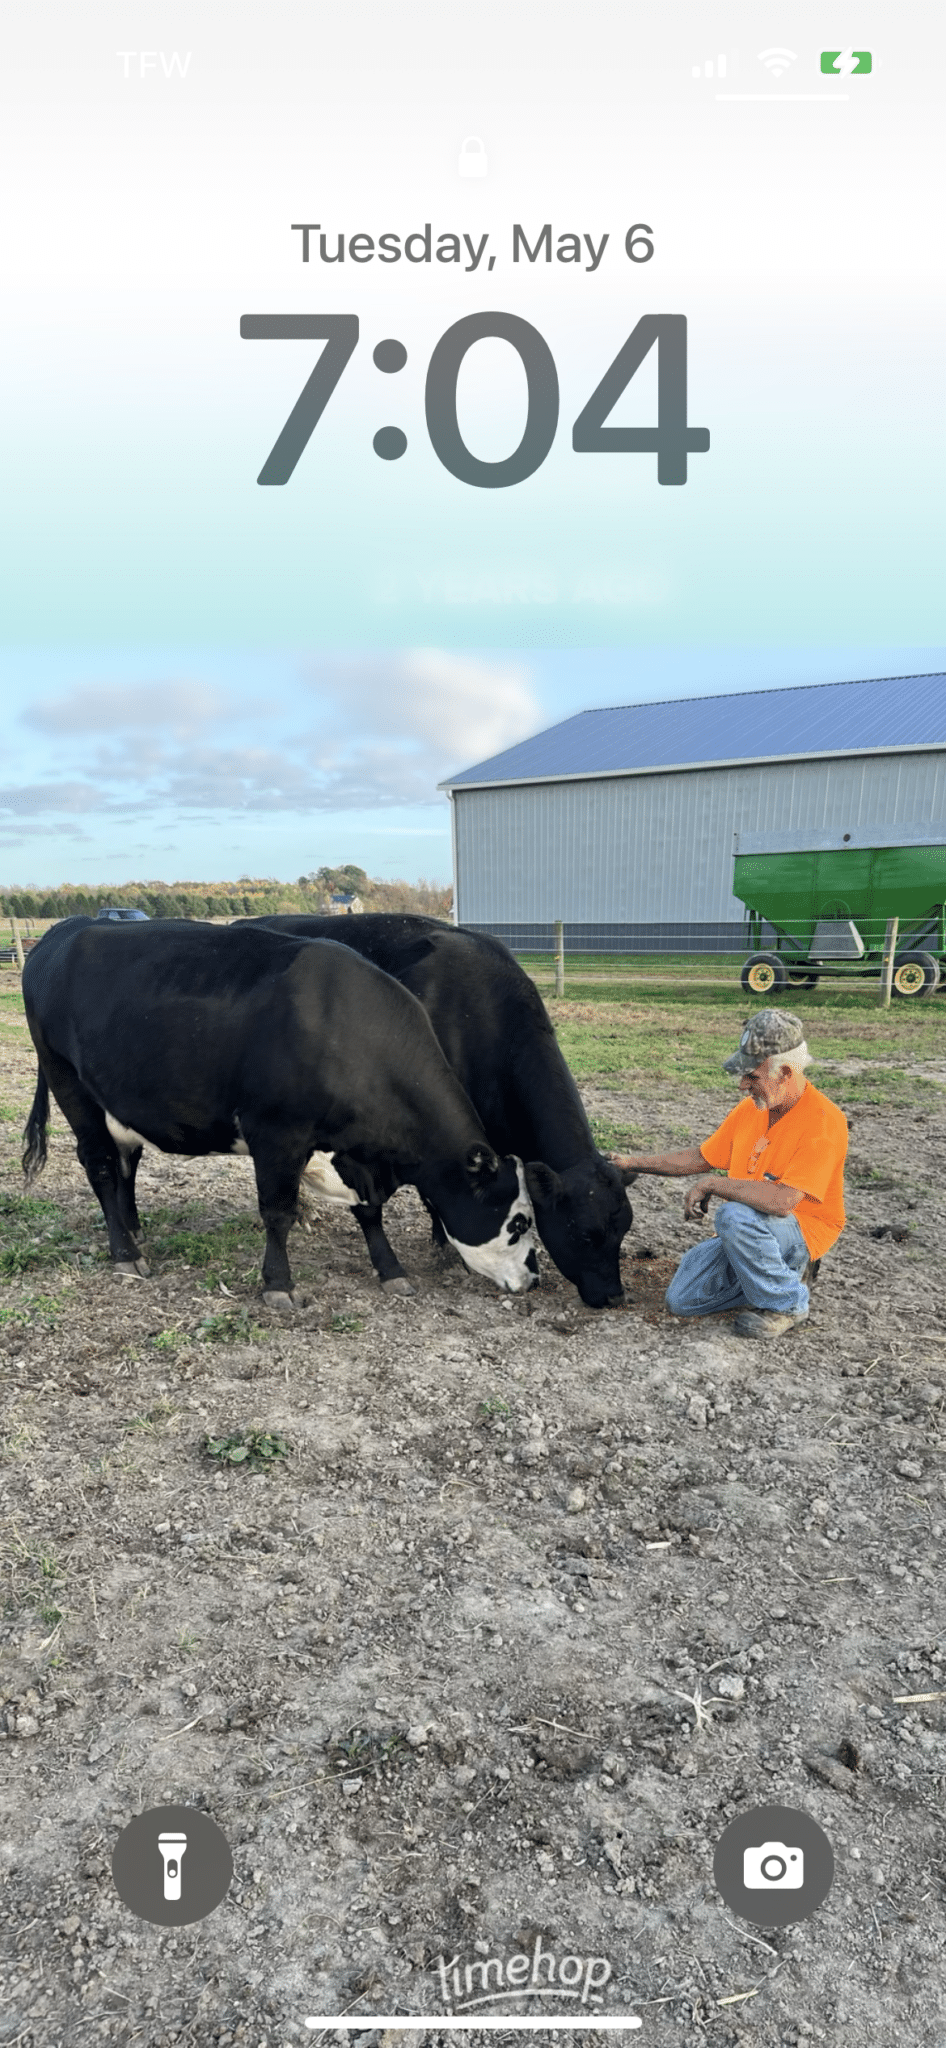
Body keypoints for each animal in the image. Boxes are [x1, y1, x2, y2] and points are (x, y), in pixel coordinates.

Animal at [20, 918, 540, 1303]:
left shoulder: (356, 1150)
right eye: (519, 1223)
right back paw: (124, 1253)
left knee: (126, 1163)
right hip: (71, 1087)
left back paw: (133, 1231)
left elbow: (370, 1210)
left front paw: (391, 1270)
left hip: (118, 1105)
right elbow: (278, 1212)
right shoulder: (277, 1135)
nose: (534, 1279)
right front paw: (279, 1284)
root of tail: (67, 929)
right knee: (102, 1166)